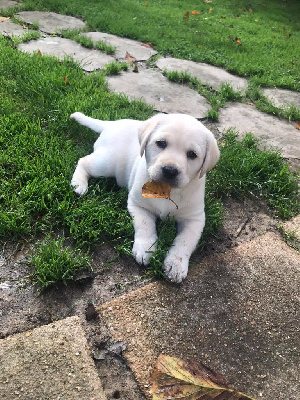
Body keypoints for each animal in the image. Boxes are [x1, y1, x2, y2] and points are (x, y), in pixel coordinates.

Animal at [71, 111, 219, 282]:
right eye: (161, 143)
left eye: (192, 154)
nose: (170, 170)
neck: (167, 190)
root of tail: (112, 124)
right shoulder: (138, 205)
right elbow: (145, 225)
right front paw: (146, 249)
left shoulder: (195, 219)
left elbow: (185, 241)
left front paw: (175, 265)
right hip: (107, 163)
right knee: (83, 161)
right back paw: (79, 184)